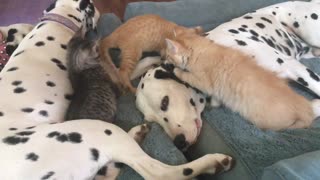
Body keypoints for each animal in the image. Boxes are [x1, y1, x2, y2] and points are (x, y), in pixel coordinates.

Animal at [165, 32, 320, 130]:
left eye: (168, 56)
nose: (164, 62)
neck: (203, 49)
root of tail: (304, 109)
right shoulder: (216, 87)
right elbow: (216, 97)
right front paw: (213, 105)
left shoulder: (203, 81)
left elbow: (186, 75)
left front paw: (176, 71)